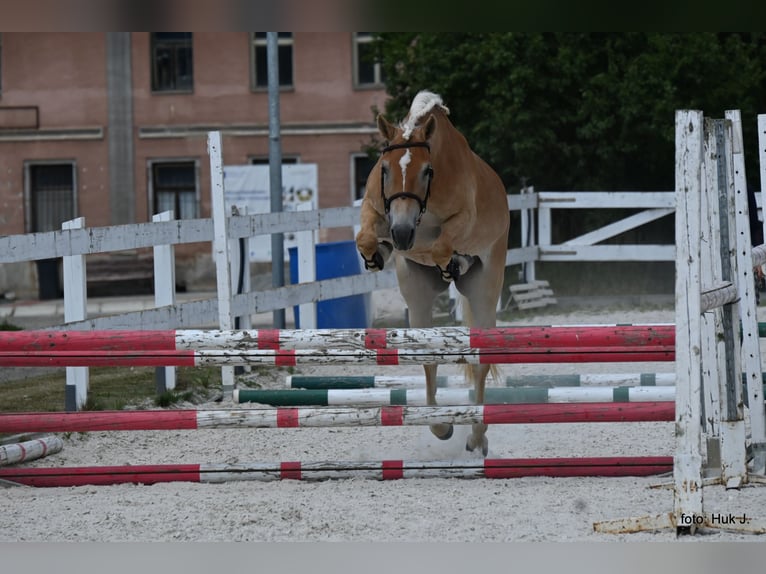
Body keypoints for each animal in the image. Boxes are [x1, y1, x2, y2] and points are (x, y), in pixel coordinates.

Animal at [356, 91, 512, 460]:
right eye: (385, 169)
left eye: (427, 171)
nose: (400, 234)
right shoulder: (374, 208)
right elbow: (365, 237)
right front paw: (376, 253)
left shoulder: (462, 220)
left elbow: (442, 245)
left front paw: (454, 261)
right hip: (416, 293)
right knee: (428, 356)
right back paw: (440, 425)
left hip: (486, 288)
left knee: (481, 361)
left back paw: (477, 436)